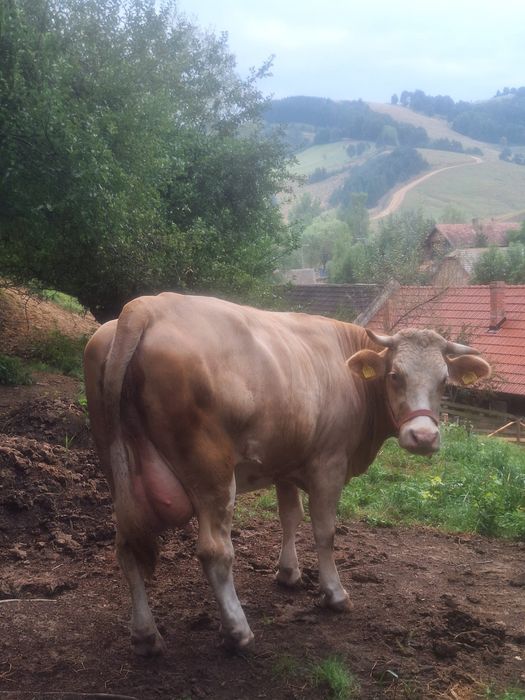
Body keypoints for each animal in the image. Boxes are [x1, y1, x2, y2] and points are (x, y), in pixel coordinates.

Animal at [83, 292, 491, 656]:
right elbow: (324, 531)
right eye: (394, 375)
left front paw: (288, 574)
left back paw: (146, 635)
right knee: (215, 551)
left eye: (444, 381)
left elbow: (289, 517)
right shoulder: (329, 464)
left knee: (127, 546)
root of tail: (146, 306)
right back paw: (237, 631)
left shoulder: (284, 462)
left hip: (116, 470)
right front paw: (334, 593)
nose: (423, 437)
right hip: (212, 473)